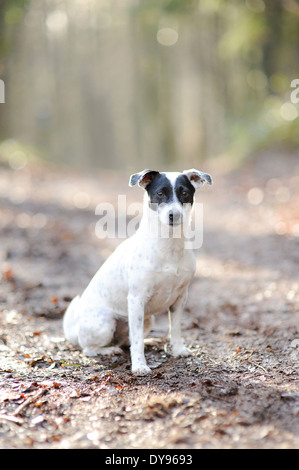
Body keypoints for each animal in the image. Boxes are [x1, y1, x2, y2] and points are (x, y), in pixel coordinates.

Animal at [63, 168, 213, 374]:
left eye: (184, 193)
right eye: (160, 194)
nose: (174, 215)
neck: (169, 246)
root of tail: (76, 329)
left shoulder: (180, 298)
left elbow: (174, 329)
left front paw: (178, 349)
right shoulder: (136, 299)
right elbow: (137, 340)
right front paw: (140, 365)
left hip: (148, 320)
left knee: (128, 340)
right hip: (105, 323)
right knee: (89, 348)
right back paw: (109, 350)